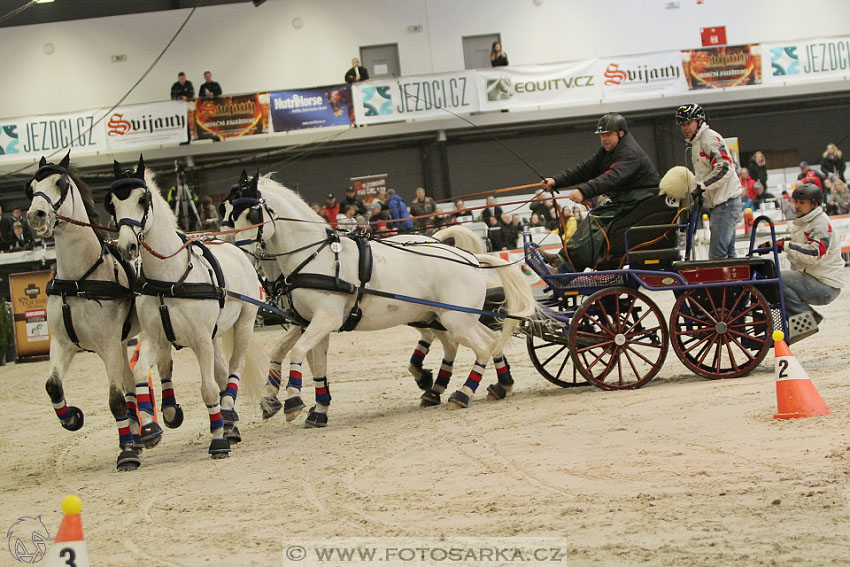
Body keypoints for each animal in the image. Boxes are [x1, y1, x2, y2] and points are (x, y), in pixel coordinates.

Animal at [25, 153, 181, 472]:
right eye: (32, 186)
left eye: (59, 183)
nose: (37, 215)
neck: (80, 278)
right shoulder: (63, 343)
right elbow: (53, 386)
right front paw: (72, 418)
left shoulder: (107, 344)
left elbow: (115, 400)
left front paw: (127, 454)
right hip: (122, 341)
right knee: (130, 380)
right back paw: (138, 431)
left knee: (162, 366)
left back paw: (164, 416)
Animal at [107, 158, 264, 460]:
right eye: (112, 204)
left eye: (142, 199)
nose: (127, 247)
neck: (169, 278)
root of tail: (237, 250)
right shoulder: (154, 337)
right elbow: (139, 373)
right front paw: (150, 428)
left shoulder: (201, 340)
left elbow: (208, 391)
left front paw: (218, 442)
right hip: (214, 335)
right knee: (222, 372)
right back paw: (229, 423)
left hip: (244, 324)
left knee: (234, 369)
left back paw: (228, 416)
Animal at [225, 176, 528, 426]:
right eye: (228, 215)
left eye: (252, 214)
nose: (238, 252)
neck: (314, 256)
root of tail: (470, 258)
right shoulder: (308, 322)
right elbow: (300, 358)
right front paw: (309, 408)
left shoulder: (325, 320)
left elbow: (298, 353)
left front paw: (293, 400)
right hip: (446, 317)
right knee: (485, 340)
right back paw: (493, 386)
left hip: (456, 320)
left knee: (483, 345)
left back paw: (463, 393)